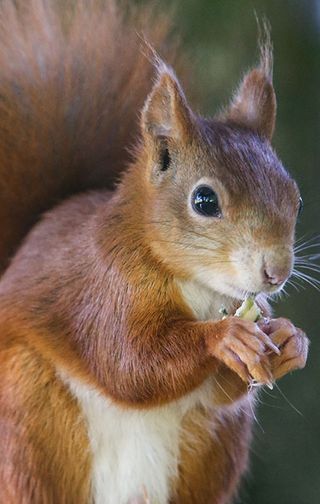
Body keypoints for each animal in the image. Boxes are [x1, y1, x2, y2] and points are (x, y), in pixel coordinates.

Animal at [0, 0, 308, 504]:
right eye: (204, 201)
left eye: (295, 198)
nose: (276, 272)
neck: (199, 287)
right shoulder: (104, 288)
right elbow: (128, 363)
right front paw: (224, 337)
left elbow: (223, 390)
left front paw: (289, 339)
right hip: (28, 417)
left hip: (209, 447)